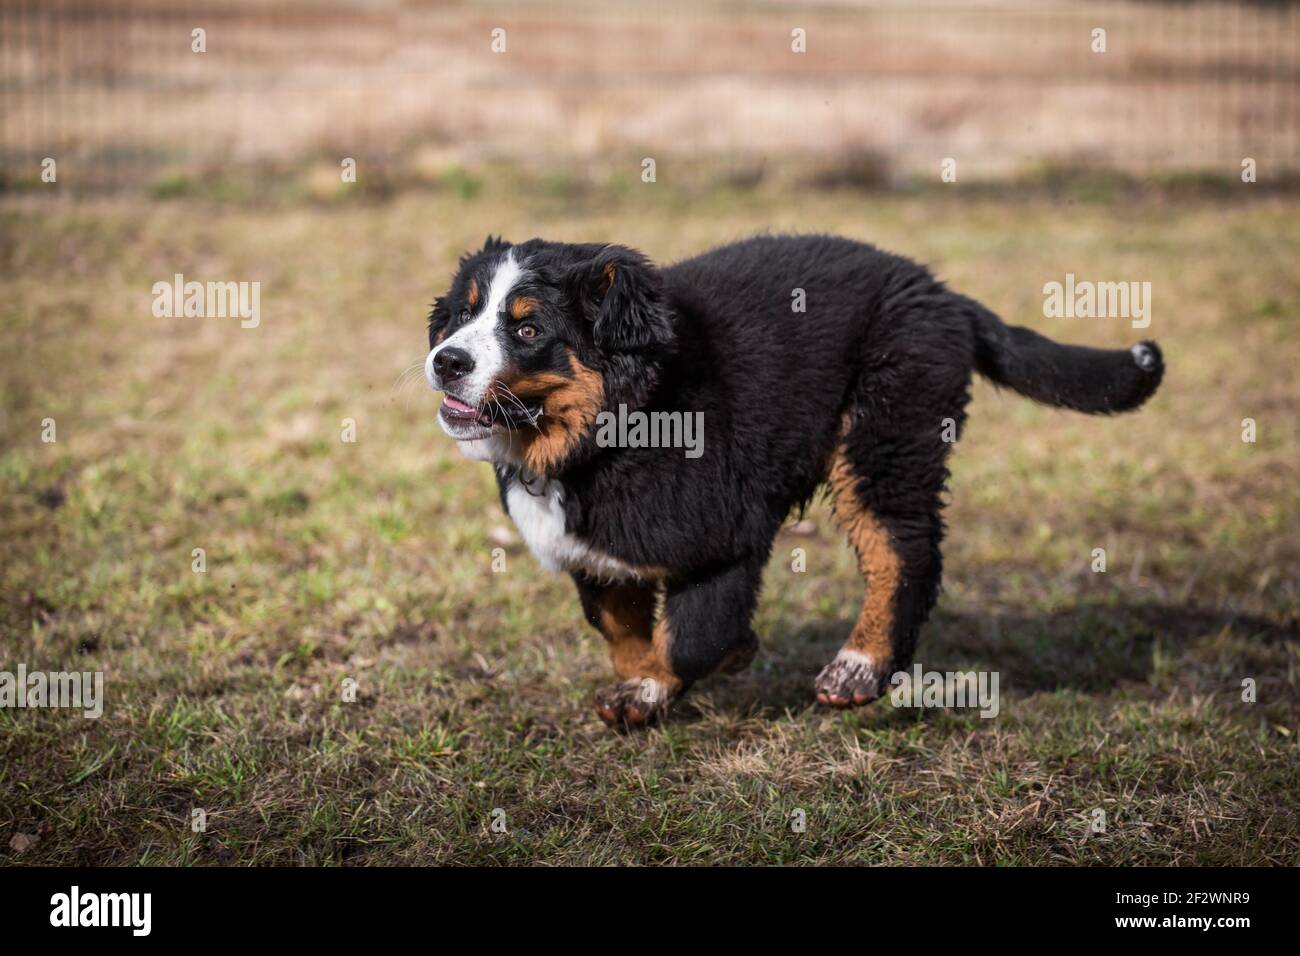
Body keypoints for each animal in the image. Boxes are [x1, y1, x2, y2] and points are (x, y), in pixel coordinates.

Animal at [426, 235, 1170, 728]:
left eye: (528, 328)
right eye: (461, 314)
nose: (445, 361)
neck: (611, 428)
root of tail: (938, 291)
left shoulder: (725, 534)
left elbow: (692, 634)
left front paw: (683, 676)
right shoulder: (598, 555)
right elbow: (620, 625)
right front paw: (643, 687)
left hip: (884, 434)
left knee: (904, 551)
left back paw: (859, 667)